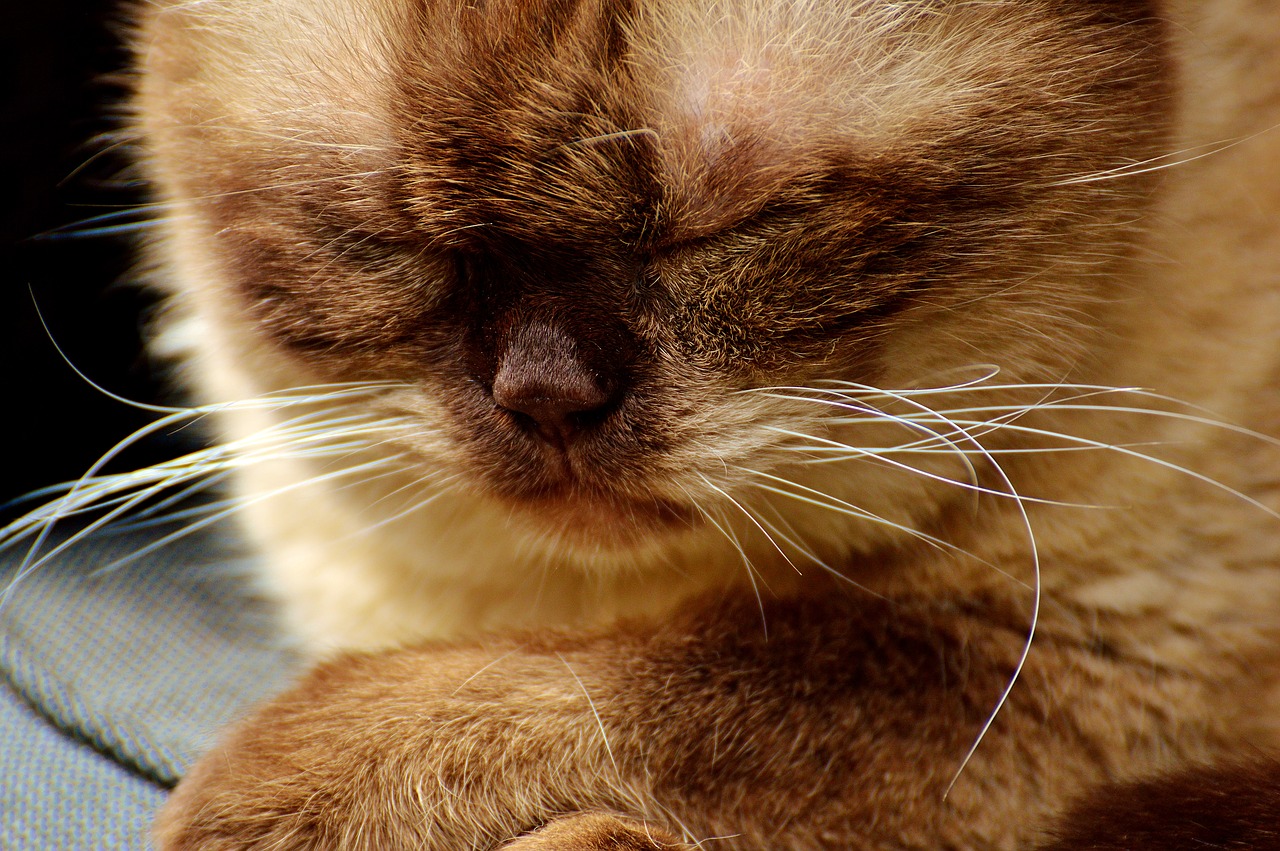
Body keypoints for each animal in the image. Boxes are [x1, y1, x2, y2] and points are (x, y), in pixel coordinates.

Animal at [102, 0, 1280, 844]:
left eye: (731, 228)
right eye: (386, 241)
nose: (548, 396)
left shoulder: (1093, 656)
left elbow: (674, 680)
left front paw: (247, 797)